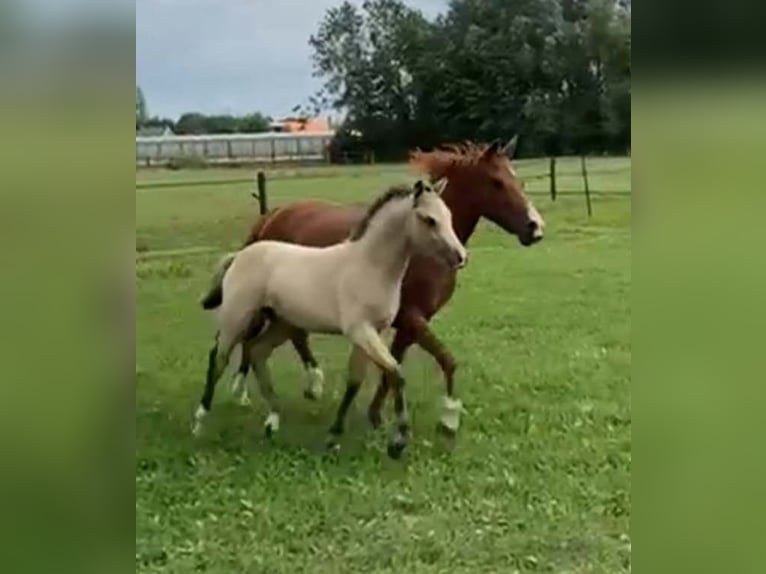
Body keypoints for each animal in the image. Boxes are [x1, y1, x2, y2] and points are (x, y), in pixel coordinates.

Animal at [195, 180, 464, 460]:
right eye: (429, 219)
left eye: (448, 215)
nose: (460, 257)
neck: (368, 266)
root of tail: (239, 255)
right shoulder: (361, 330)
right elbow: (396, 373)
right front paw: (398, 443)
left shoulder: (372, 333)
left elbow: (356, 381)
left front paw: (334, 437)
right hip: (238, 317)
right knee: (219, 358)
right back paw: (201, 422)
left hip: (282, 323)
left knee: (258, 351)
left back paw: (272, 421)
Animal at [237, 140, 544, 440]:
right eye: (496, 182)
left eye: (516, 178)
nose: (535, 228)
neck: (418, 252)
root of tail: (273, 215)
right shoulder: (411, 318)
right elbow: (446, 360)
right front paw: (448, 419)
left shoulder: (408, 324)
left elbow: (392, 367)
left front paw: (377, 416)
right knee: (253, 339)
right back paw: (245, 392)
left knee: (292, 337)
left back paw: (312, 386)